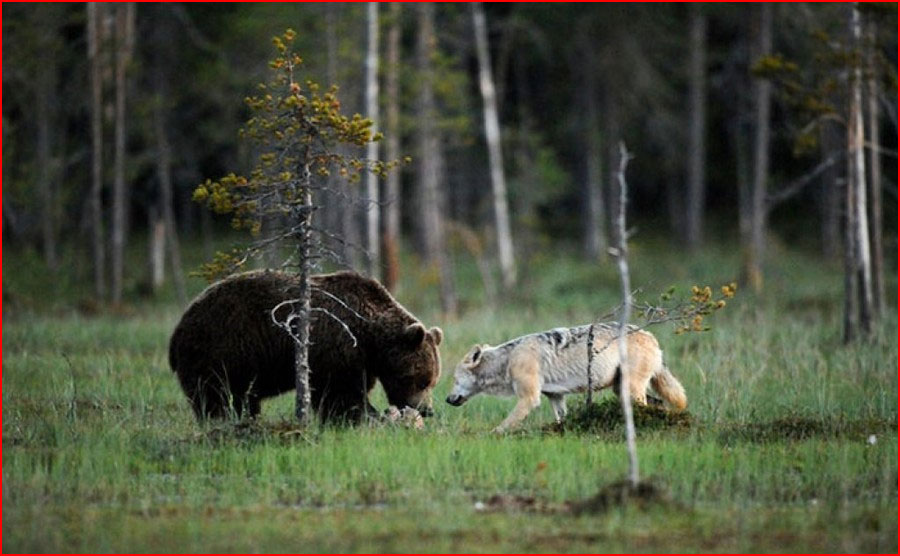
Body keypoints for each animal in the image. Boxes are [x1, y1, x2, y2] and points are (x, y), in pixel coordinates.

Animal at [169, 270, 442, 422]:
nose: (426, 409)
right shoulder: (337, 348)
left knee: (242, 398)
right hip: (220, 348)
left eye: (432, 380)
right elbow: (341, 394)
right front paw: (363, 416)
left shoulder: (361, 360)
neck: (369, 337)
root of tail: (178, 329)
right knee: (214, 396)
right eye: (421, 380)